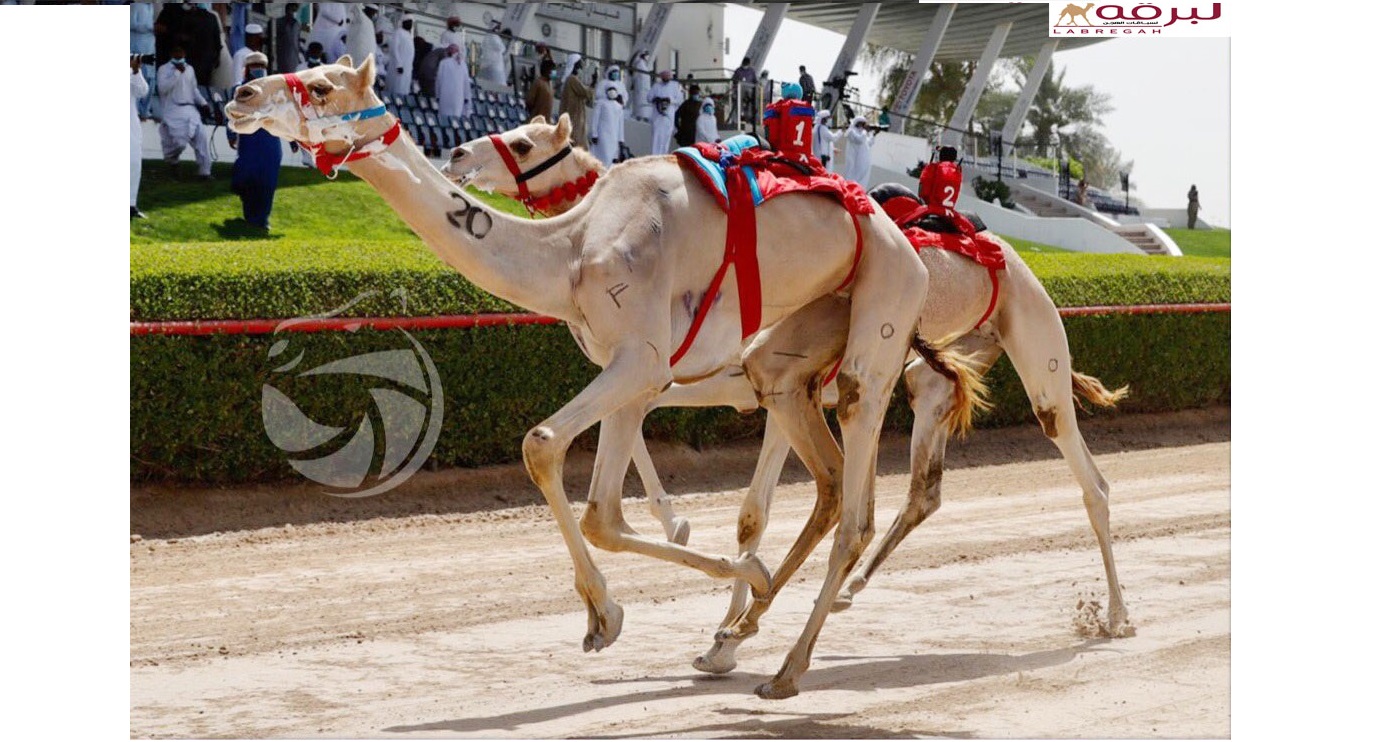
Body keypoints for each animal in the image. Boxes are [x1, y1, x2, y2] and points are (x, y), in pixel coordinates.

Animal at [225, 55, 979, 699]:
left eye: (321, 86)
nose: (243, 92)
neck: (569, 251)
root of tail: (906, 241)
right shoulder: (638, 374)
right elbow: (604, 514)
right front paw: (616, 614)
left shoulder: (641, 358)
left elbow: (540, 444)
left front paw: (632, 603)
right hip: (789, 361)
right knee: (820, 481)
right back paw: (736, 635)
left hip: (881, 320)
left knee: (857, 503)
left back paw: (785, 669)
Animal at [447, 121, 1134, 680]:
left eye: (523, 143)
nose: (456, 154)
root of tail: (1012, 259)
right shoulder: (724, 386)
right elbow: (748, 507)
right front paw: (722, 628)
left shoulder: (705, 380)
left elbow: (745, 505)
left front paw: (708, 595)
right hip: (936, 378)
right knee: (924, 489)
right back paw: (848, 592)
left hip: (1035, 344)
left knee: (1088, 476)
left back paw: (1116, 617)